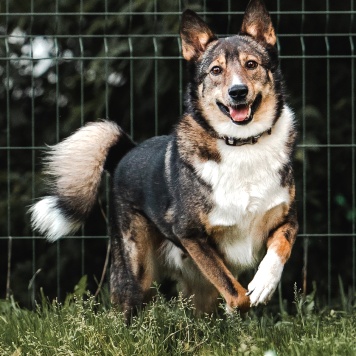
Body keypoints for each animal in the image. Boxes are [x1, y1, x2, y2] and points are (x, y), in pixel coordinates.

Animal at [29, 0, 298, 318]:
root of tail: (126, 152)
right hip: (136, 273)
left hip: (195, 286)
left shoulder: (287, 218)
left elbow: (280, 246)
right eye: (216, 70)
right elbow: (234, 292)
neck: (242, 144)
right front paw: (240, 304)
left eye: (252, 64)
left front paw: (264, 284)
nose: (237, 92)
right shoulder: (190, 234)